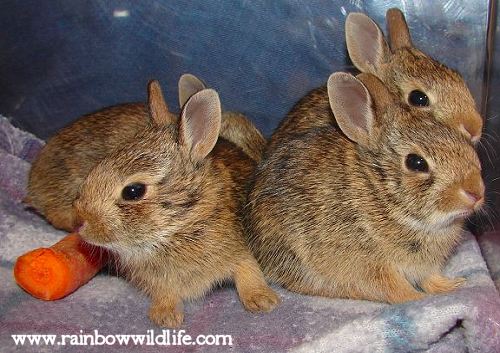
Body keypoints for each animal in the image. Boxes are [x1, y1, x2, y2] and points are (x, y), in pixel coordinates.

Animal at [73, 80, 282, 328]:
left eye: (133, 191)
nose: (82, 223)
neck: (181, 226)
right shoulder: (157, 280)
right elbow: (165, 293)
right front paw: (166, 316)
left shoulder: (242, 251)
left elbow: (248, 272)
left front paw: (262, 300)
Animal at [248, 71, 486, 302]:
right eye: (416, 163)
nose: (476, 192)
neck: (381, 194)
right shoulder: (371, 266)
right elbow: (394, 288)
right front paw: (417, 298)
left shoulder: (426, 267)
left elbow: (430, 278)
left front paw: (453, 286)